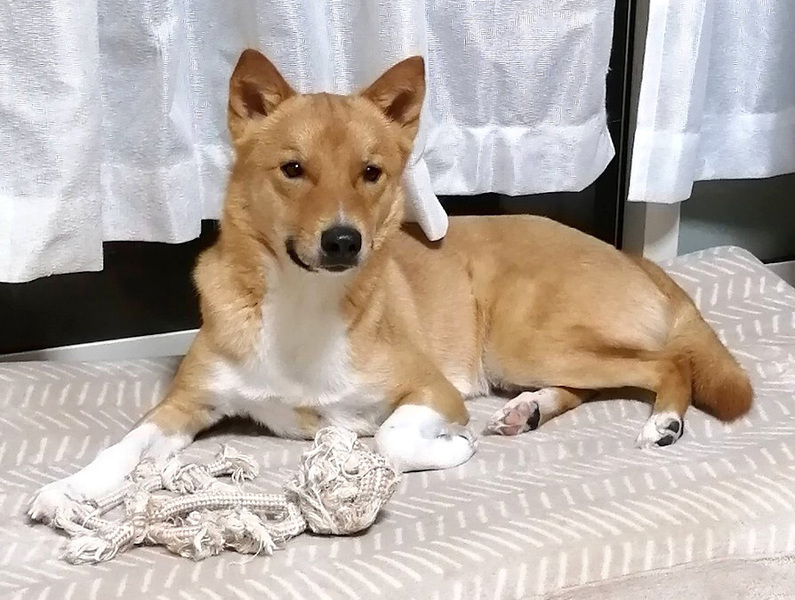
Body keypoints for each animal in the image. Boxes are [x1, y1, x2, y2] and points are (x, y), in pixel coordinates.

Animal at [29, 49, 753, 522]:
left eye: (371, 172)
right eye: (293, 169)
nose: (343, 241)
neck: (303, 301)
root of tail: (634, 259)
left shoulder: (431, 389)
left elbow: (387, 438)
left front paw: (447, 446)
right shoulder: (187, 404)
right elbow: (125, 447)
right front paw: (70, 491)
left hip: (523, 338)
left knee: (668, 362)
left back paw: (663, 421)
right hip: (527, 353)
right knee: (596, 381)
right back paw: (528, 410)